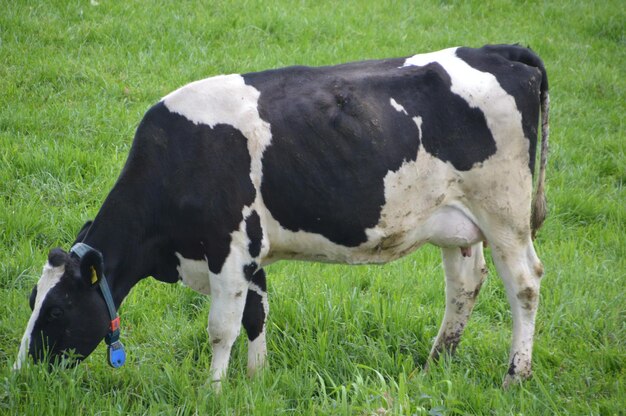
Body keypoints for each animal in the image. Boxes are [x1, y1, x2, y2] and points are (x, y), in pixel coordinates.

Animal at [14, 45, 544, 390]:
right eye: (31, 300)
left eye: (56, 310)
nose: (21, 373)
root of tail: (497, 51)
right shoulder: (250, 253)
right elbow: (256, 314)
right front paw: (255, 379)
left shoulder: (229, 249)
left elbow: (221, 327)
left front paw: (212, 392)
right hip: (458, 223)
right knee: (464, 285)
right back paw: (437, 363)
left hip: (505, 213)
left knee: (524, 284)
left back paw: (514, 377)